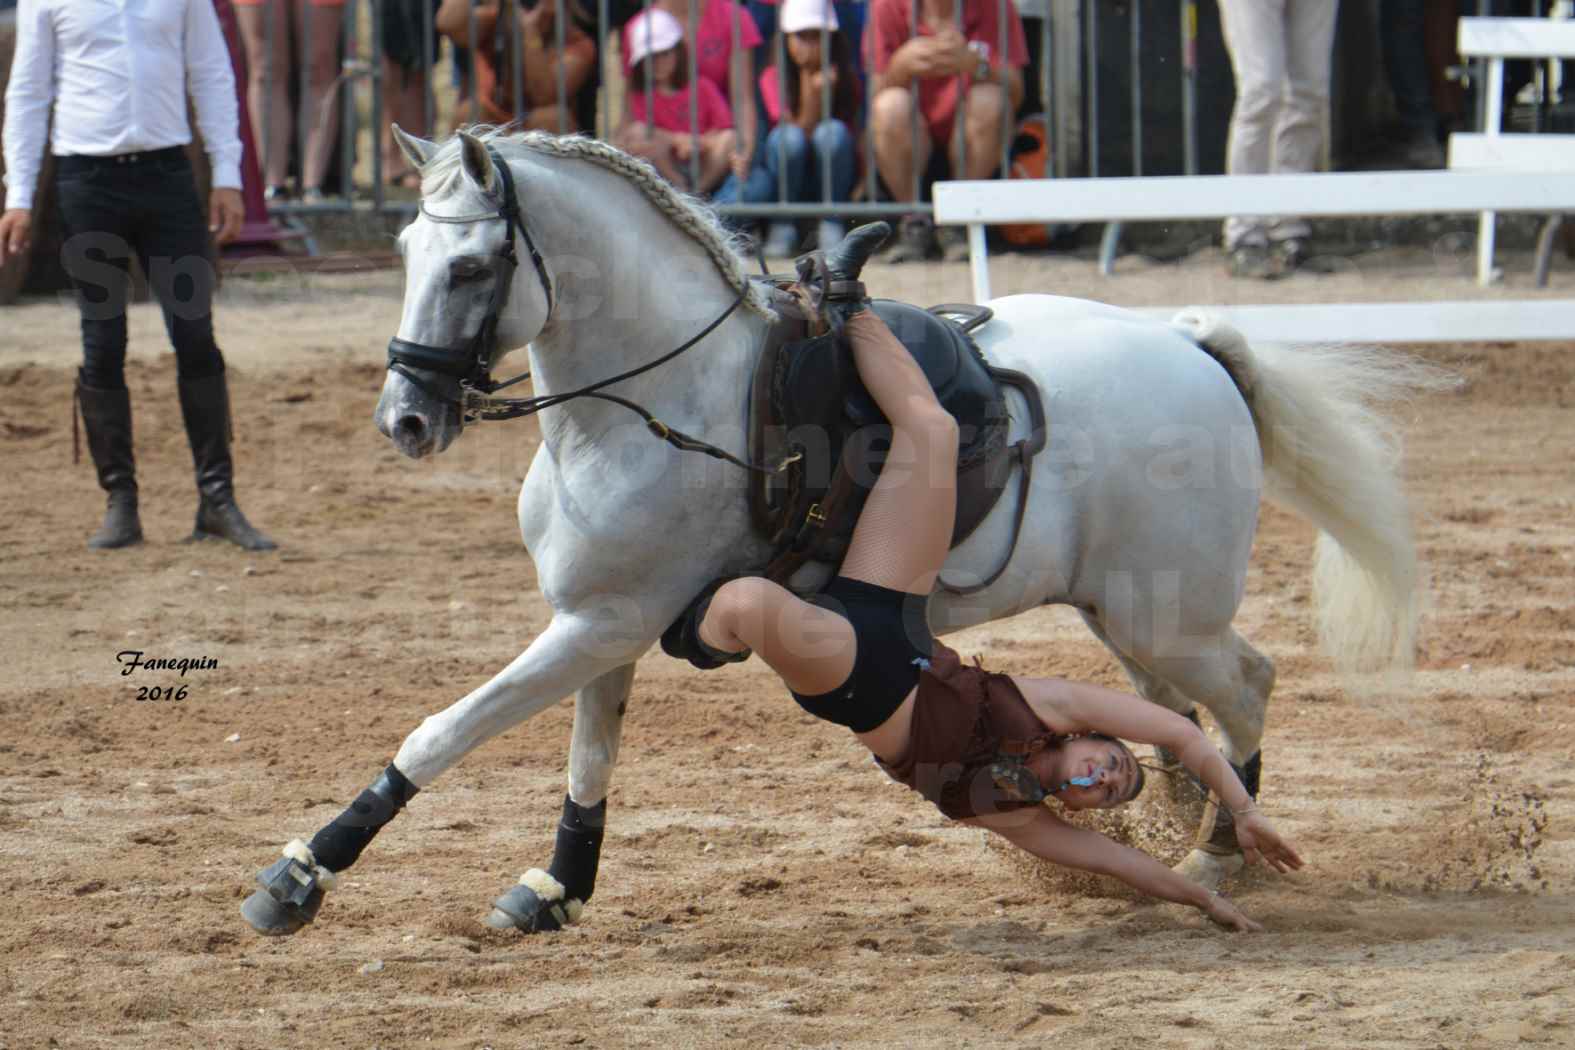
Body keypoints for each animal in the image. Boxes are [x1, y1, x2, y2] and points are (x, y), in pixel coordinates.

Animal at [242, 127, 1430, 938]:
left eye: (473, 267)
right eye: (405, 248)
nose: (405, 418)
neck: (660, 395)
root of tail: (1189, 345)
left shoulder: (599, 622)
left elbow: (443, 731)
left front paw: (300, 875)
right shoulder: (601, 624)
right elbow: (590, 755)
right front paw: (556, 886)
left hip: (1166, 613)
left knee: (1248, 689)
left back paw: (1220, 852)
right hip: (1127, 614)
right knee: (1182, 710)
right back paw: (1190, 818)